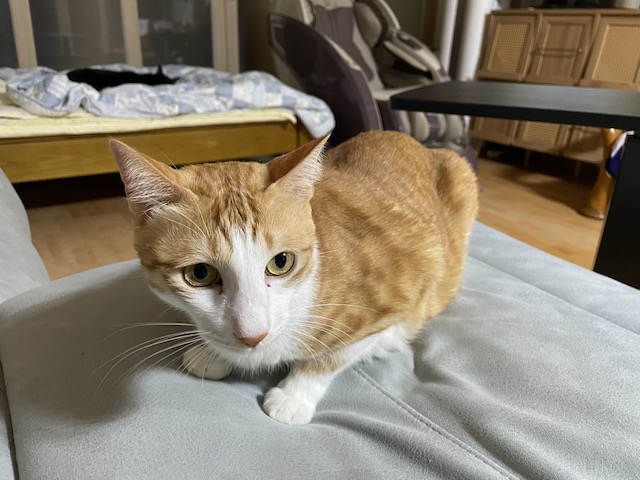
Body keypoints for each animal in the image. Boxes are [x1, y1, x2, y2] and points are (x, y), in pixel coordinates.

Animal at [110, 131, 478, 425]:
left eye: (281, 262)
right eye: (200, 273)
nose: (252, 336)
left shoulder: (406, 286)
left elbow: (336, 354)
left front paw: (295, 394)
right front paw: (213, 352)